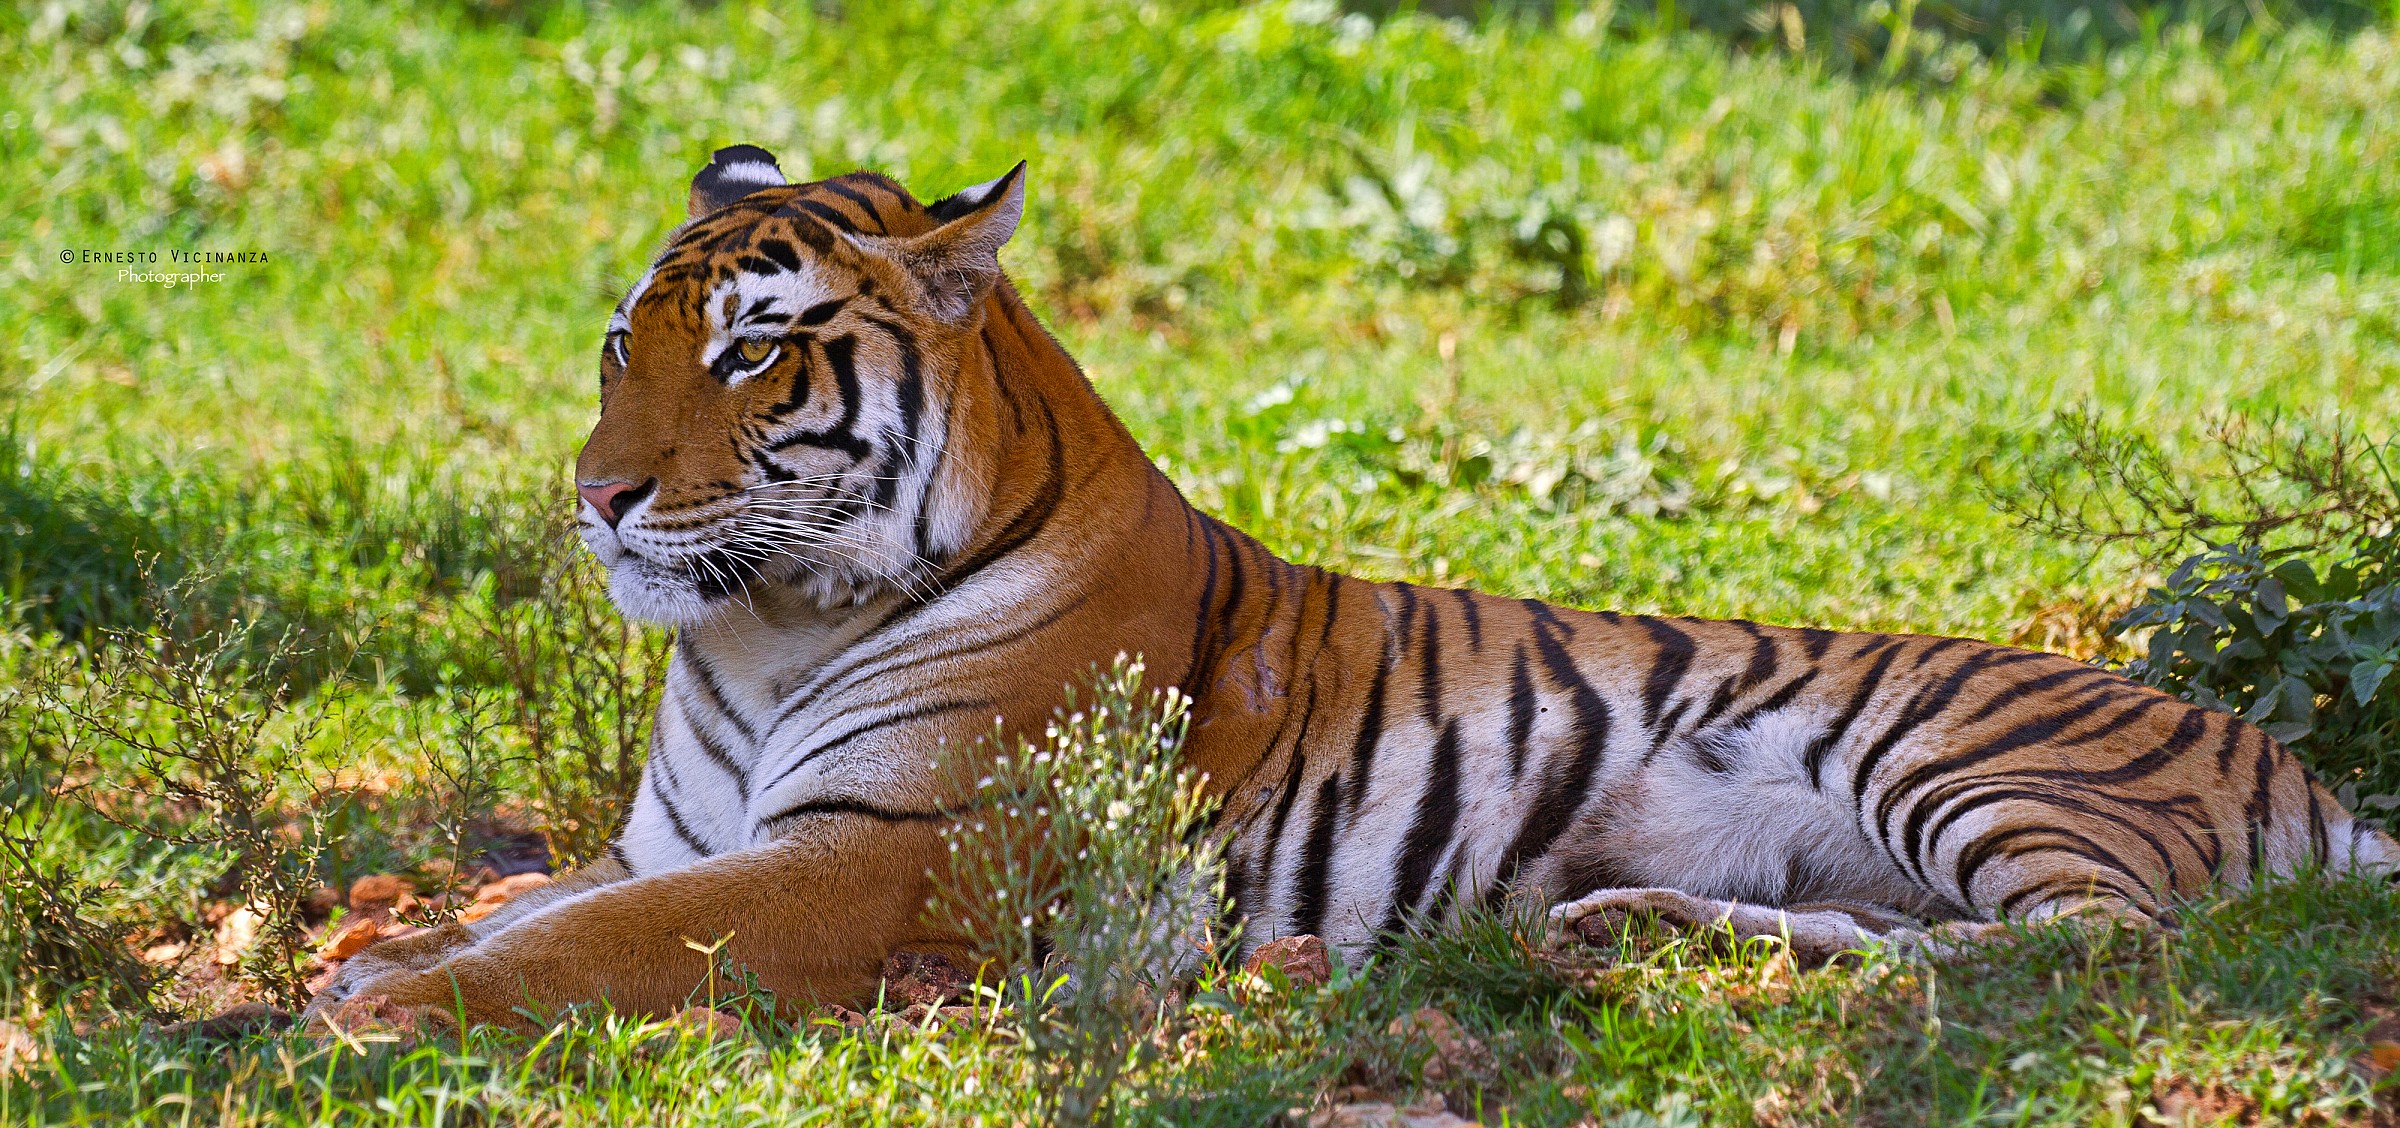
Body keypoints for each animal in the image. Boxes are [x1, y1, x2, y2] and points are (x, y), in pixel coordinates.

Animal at [305, 144, 2398, 1030]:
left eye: (750, 354)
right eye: (619, 345)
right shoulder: (680, 838)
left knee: (2107, 944)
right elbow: (548, 895)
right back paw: (1631, 929)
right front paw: (374, 952)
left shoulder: (894, 858)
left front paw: (378, 1001)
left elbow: (598, 942)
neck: (756, 625)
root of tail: (2300, 767)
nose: (597, 497)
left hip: (1960, 759)